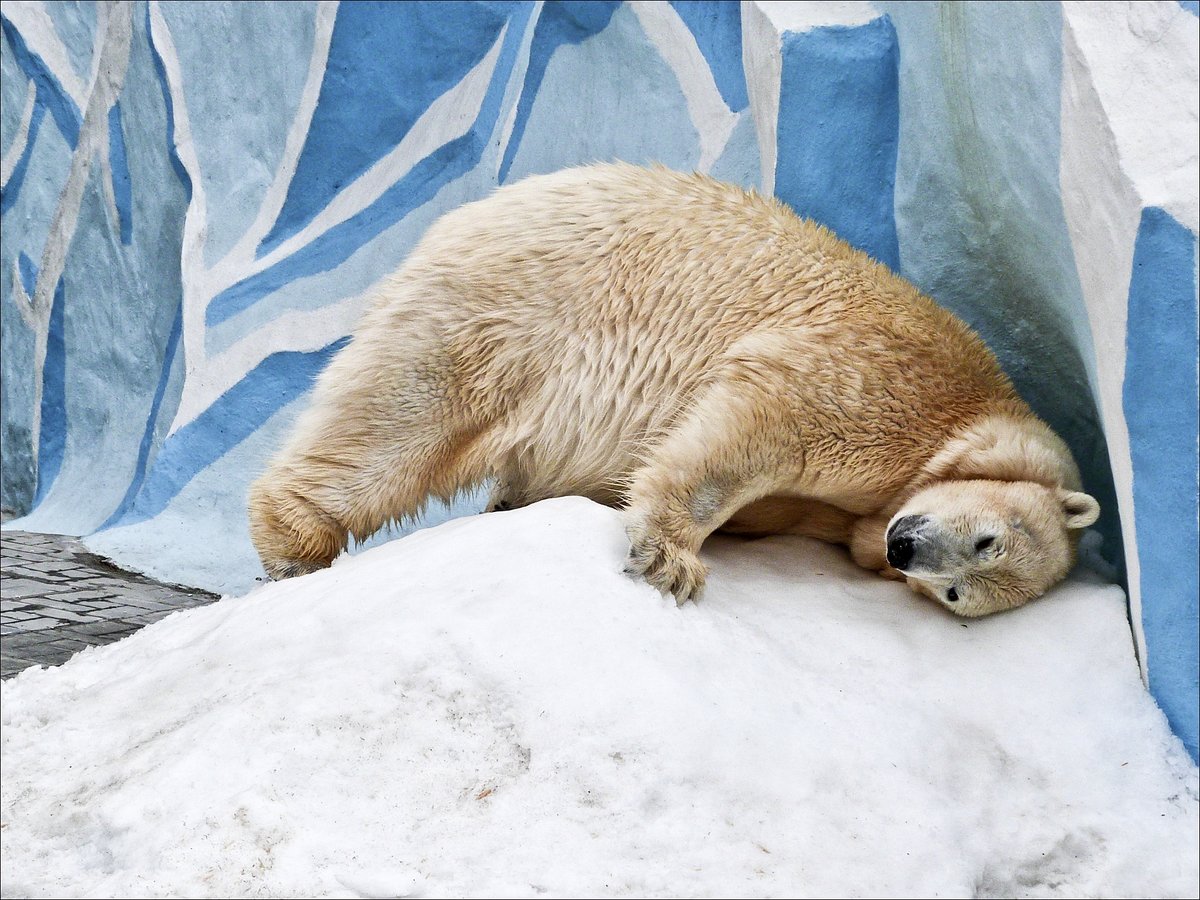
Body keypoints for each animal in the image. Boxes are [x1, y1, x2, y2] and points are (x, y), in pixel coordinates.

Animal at [247, 162, 1100, 617]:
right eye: (986, 541)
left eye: (958, 594)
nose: (907, 548)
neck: (974, 419)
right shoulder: (885, 379)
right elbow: (762, 419)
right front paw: (669, 559)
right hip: (507, 311)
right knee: (402, 419)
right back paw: (295, 543)